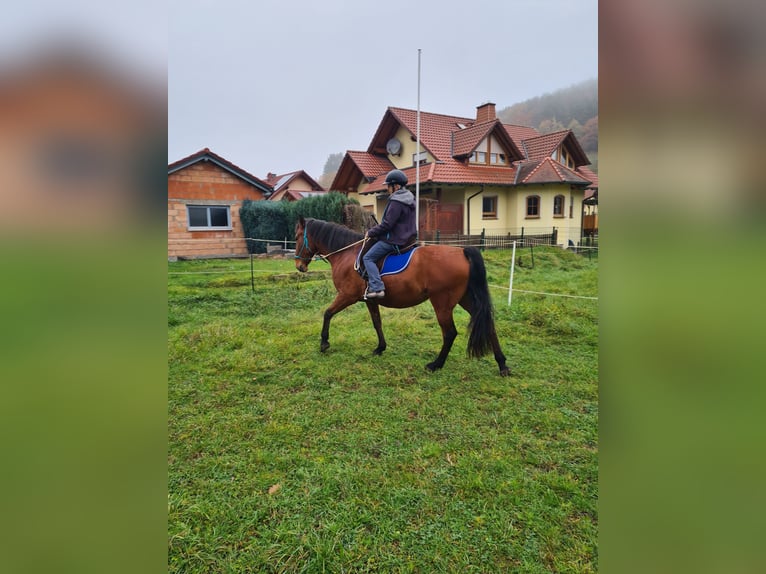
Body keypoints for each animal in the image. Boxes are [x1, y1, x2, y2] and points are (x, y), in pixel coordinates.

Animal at [293, 216, 510, 376]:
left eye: (296, 236)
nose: (299, 266)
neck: (348, 254)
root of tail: (462, 252)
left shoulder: (347, 295)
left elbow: (327, 313)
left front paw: (324, 343)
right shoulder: (370, 299)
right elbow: (377, 323)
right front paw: (380, 348)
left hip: (442, 303)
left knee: (449, 333)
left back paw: (436, 364)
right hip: (464, 299)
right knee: (488, 324)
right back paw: (502, 365)